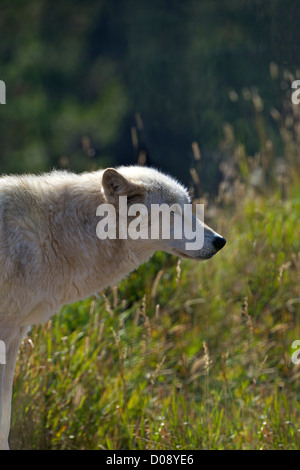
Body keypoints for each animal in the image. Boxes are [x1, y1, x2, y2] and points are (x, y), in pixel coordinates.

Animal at [0, 165, 225, 448]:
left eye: (189, 207)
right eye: (172, 212)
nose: (220, 241)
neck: (53, 234)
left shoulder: (16, 335)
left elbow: (5, 420)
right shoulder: (7, 333)